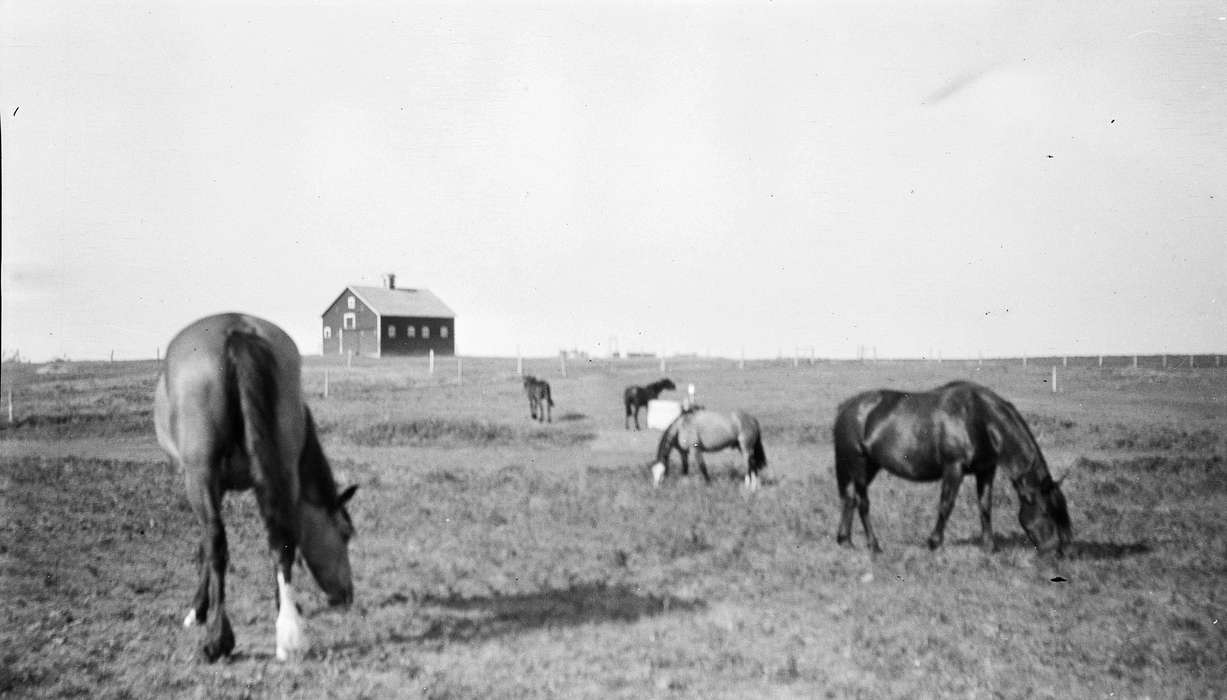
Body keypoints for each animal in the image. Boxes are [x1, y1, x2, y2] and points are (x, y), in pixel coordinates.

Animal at [155, 313, 358, 663]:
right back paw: (288, 631)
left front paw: (198, 611)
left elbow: (205, 547)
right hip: (281, 468)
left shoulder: (209, 483)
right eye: (344, 534)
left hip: (200, 476)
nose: (347, 594)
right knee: (282, 539)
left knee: (217, 542)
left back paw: (218, 640)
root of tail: (236, 328)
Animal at [829, 378, 1069, 552]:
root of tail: (847, 407)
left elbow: (985, 506)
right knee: (862, 503)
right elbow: (946, 504)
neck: (979, 418)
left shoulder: (986, 471)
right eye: (1047, 511)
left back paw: (845, 541)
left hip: (870, 466)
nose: (1055, 550)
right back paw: (874, 545)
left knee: (849, 499)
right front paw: (934, 542)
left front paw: (990, 547)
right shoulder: (954, 469)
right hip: (858, 465)